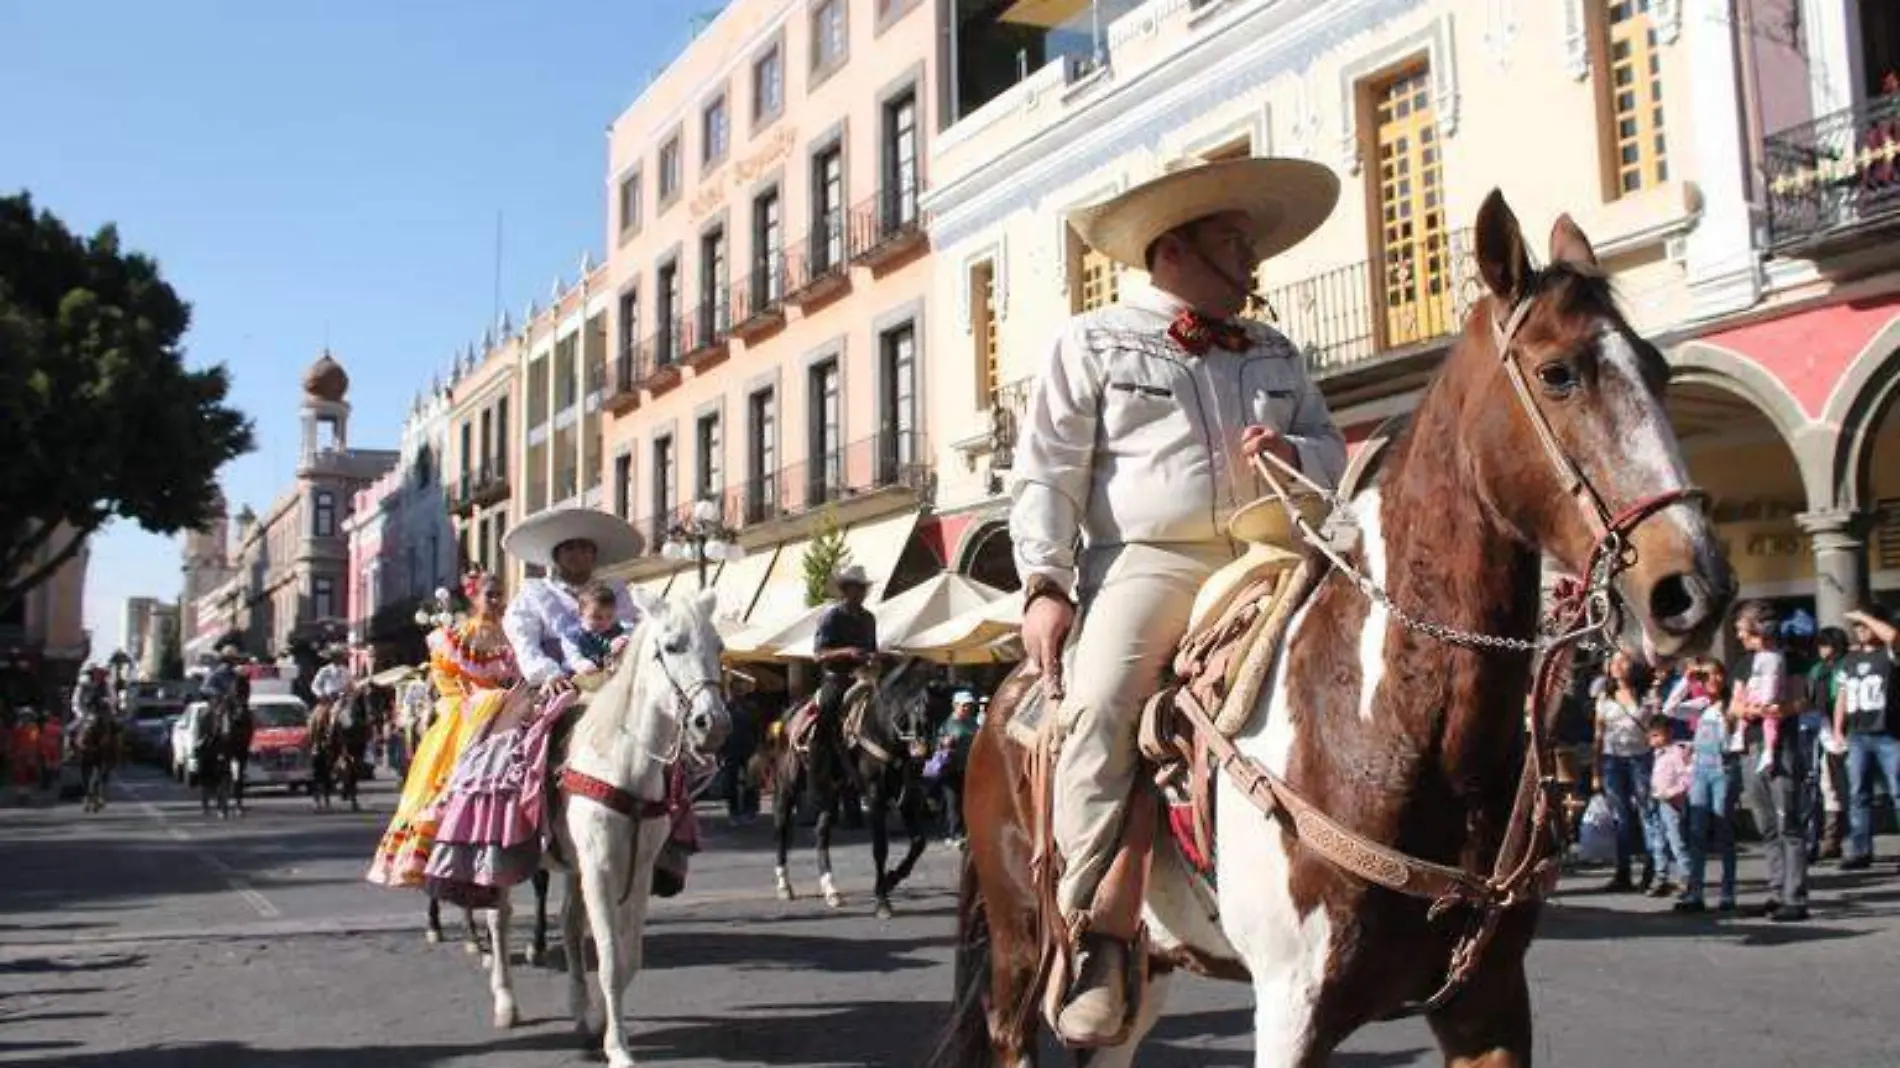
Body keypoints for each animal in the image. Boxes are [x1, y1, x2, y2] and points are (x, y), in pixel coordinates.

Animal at [482, 581, 733, 1064]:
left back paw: (579, 1009)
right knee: (498, 917)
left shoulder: (638, 867)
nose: (711, 724)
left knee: (566, 922)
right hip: (503, 851)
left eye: (719, 646)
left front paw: (598, 1021)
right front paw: (618, 1047)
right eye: (671, 646)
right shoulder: (599, 866)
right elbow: (611, 958)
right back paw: (504, 1003)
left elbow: (627, 956)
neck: (624, 761)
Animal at [771, 653, 950, 912]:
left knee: (821, 832)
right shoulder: (875, 794)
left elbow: (919, 842)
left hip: (831, 791)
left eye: (946, 711)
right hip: (788, 784)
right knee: (782, 827)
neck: (882, 728)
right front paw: (882, 900)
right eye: (924, 705)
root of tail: (789, 714)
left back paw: (831, 889)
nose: (924, 752)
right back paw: (784, 885)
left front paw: (891, 879)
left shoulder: (908, 795)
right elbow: (880, 847)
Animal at [934, 192, 1740, 1064]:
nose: (1692, 588)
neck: (1396, 723)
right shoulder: (1293, 1009)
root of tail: (1003, 698)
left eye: (1658, 371)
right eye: (1558, 372)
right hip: (1021, 950)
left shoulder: (1489, 1001)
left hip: (1148, 973)